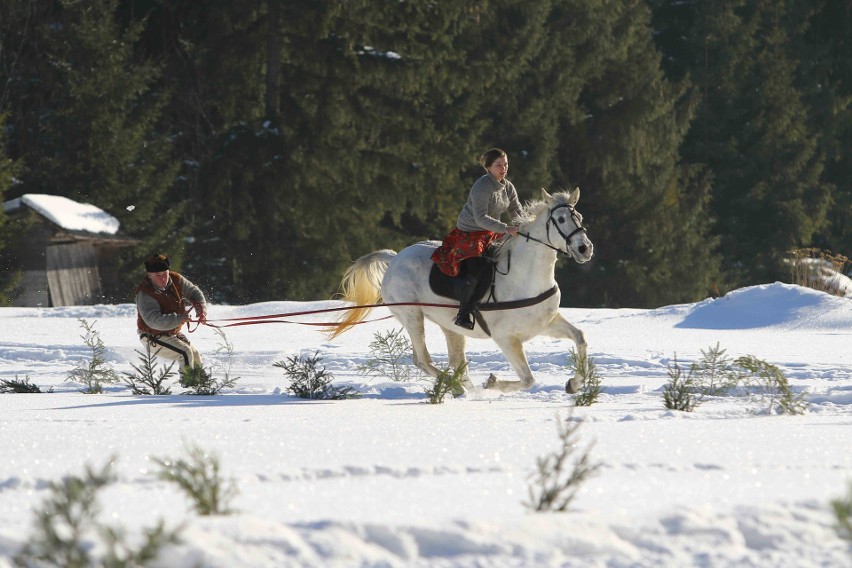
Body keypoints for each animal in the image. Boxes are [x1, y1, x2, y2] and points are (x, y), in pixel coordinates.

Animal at [332, 189, 592, 392]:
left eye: (579, 216)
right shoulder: (506, 338)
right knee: (423, 360)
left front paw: (574, 384)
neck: (525, 276)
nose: (584, 249)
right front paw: (491, 383)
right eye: (560, 219)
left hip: (449, 326)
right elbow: (528, 379)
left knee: (454, 361)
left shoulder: (546, 324)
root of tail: (394, 258)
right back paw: (460, 389)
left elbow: (580, 337)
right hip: (412, 316)